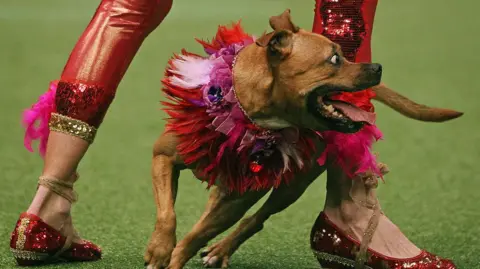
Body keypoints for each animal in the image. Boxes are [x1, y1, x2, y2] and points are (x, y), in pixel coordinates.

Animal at [143, 8, 462, 268]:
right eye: (334, 59)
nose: (377, 67)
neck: (249, 114)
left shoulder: (239, 199)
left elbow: (197, 235)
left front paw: (173, 257)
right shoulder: (164, 157)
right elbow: (168, 215)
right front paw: (160, 250)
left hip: (291, 187)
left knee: (255, 219)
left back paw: (220, 250)